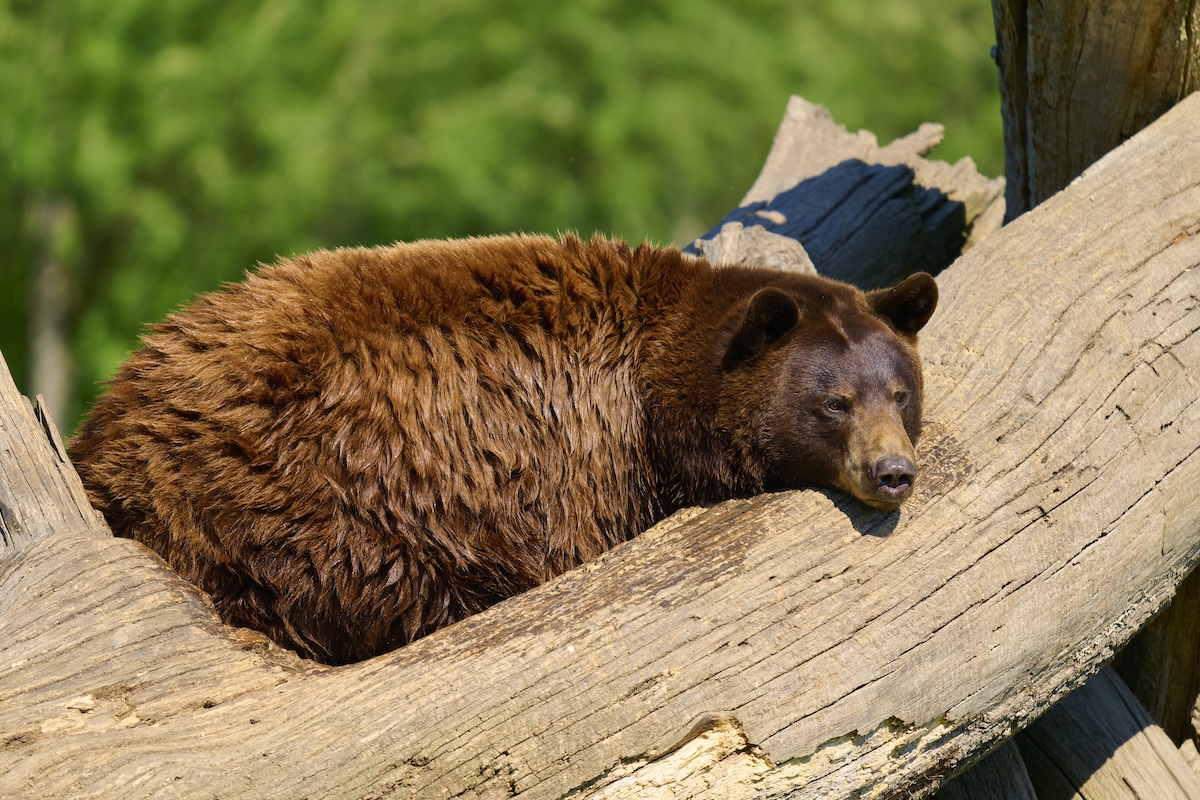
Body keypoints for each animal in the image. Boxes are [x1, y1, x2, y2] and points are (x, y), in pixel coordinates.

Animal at [69, 233, 937, 665]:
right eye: (834, 401)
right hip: (298, 490)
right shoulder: (571, 466)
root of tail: (104, 428)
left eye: (900, 392)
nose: (893, 473)